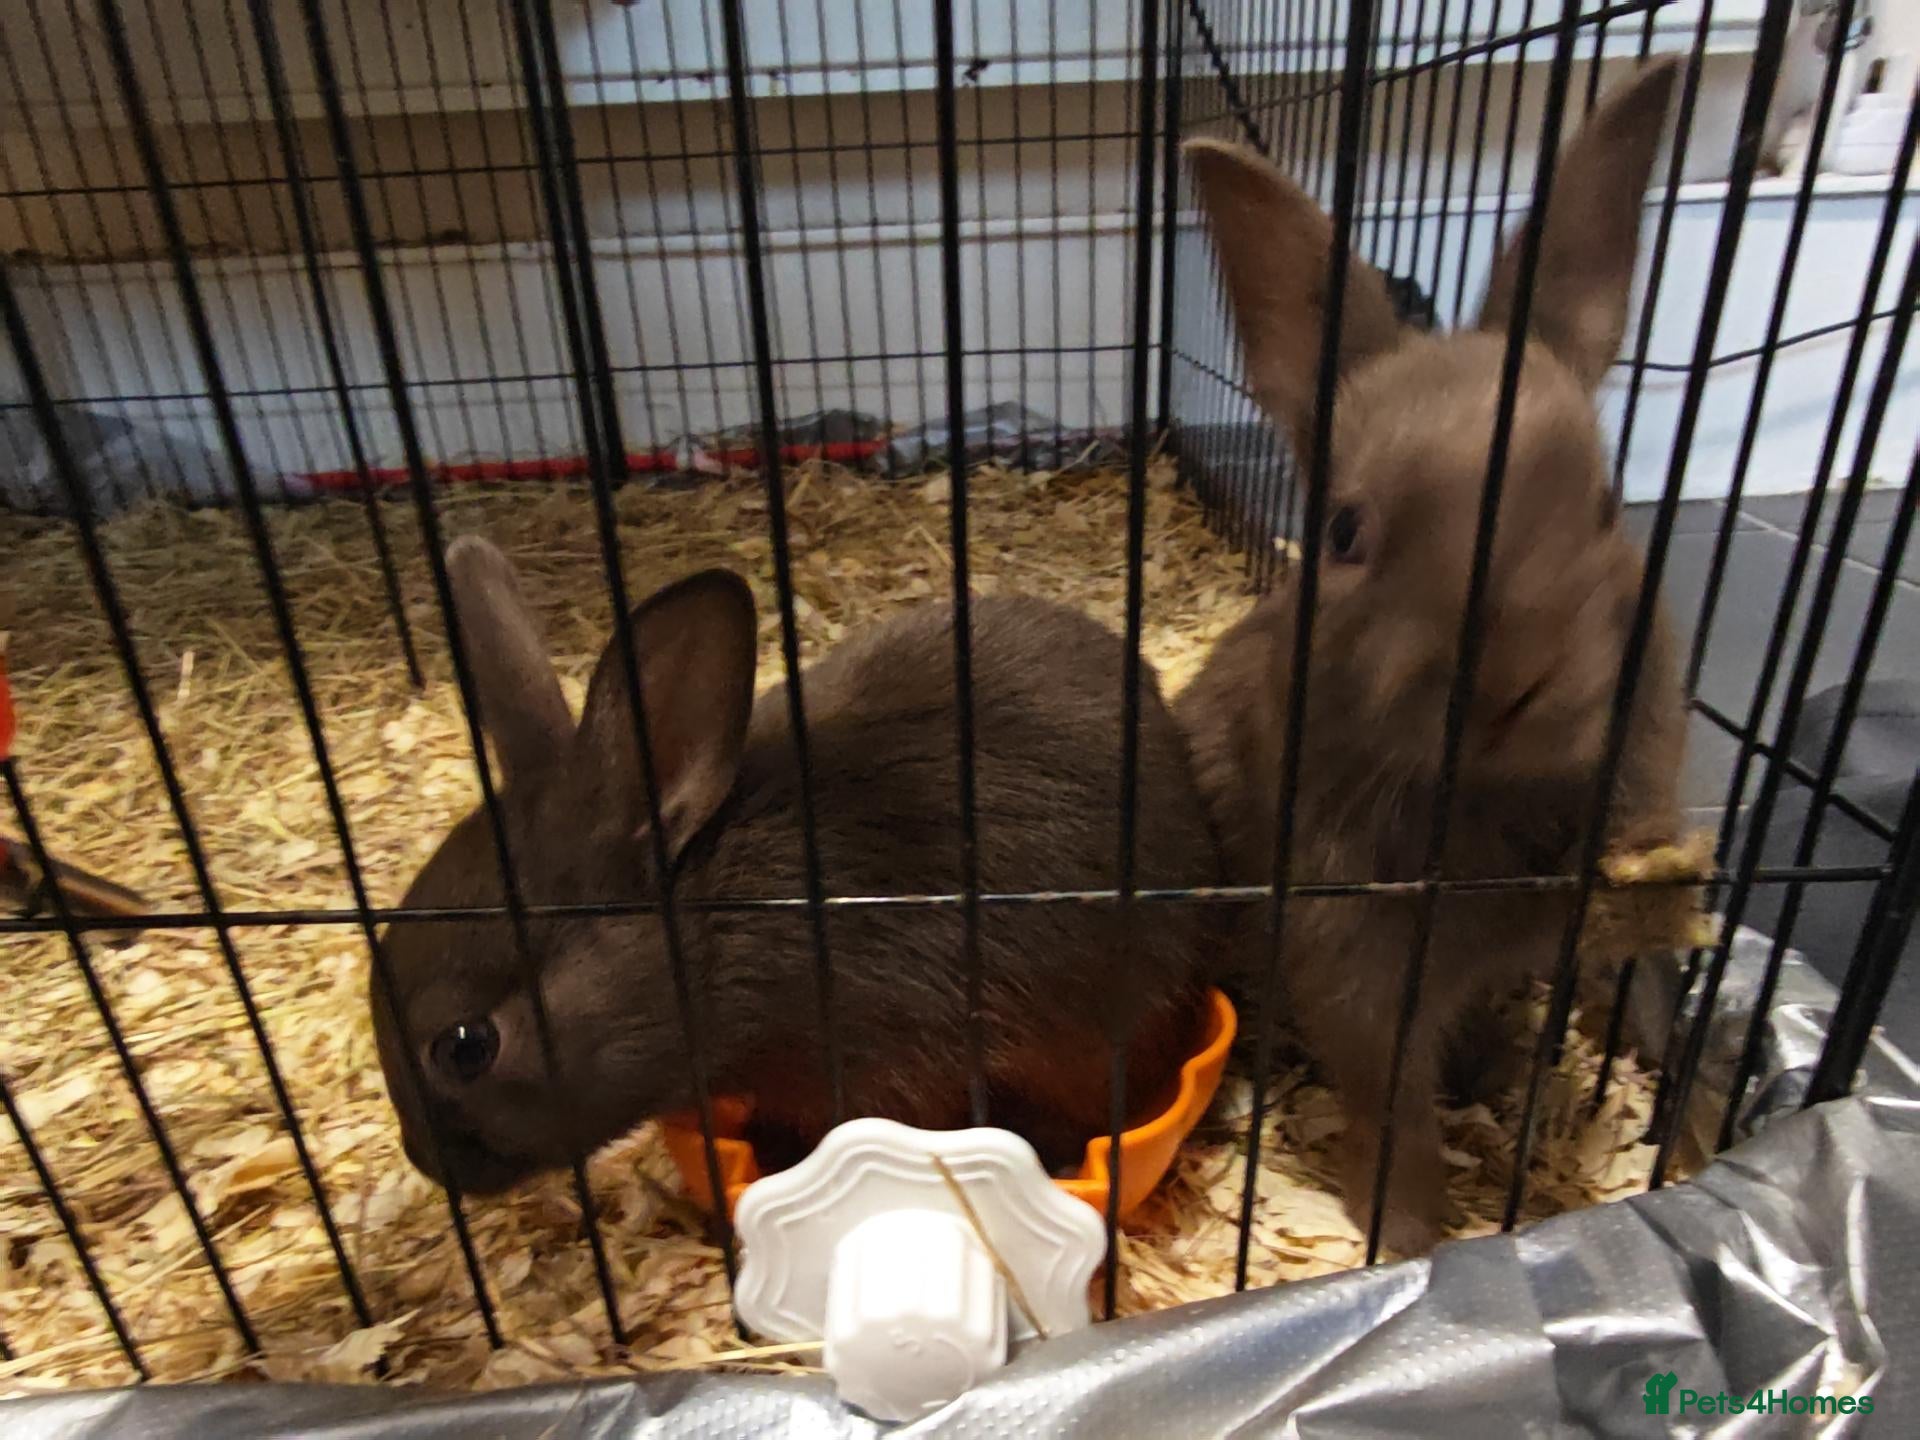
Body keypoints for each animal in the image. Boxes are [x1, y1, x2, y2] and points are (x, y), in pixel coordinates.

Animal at [1174, 60, 1688, 1256]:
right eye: (1345, 531)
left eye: (1607, 505)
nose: (1511, 682)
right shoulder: (1353, 958)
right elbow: (1390, 1098)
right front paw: (1406, 1239)